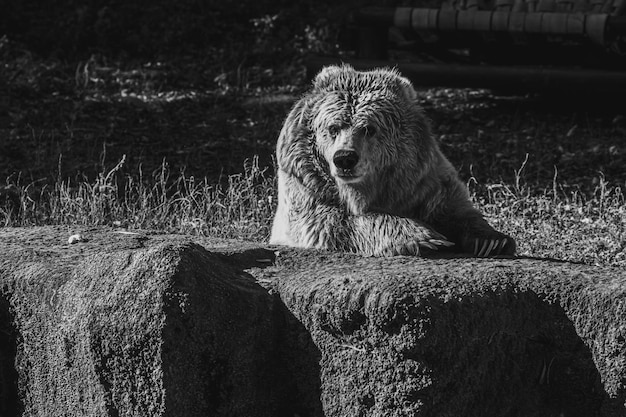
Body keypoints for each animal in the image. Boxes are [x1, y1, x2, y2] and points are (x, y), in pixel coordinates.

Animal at [270, 64, 516, 256]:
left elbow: (456, 209)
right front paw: (427, 237)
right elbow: (329, 223)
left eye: (368, 129)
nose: (345, 158)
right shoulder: (306, 185)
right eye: (333, 127)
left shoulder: (424, 182)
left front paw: (493, 241)